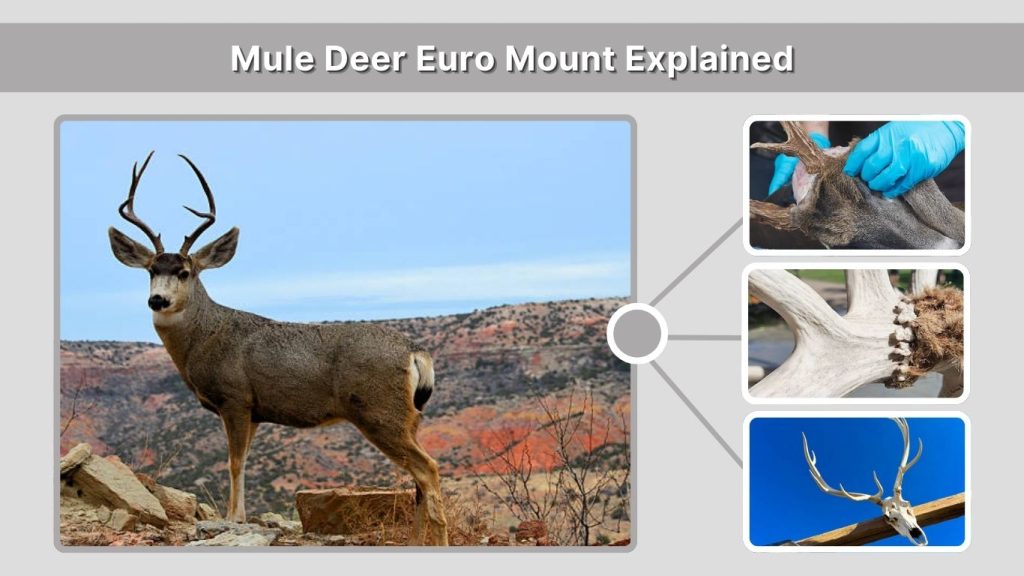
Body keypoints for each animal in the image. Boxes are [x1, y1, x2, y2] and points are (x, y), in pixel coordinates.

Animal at [107, 152, 449, 545]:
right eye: (150, 270)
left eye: (185, 272)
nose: (157, 300)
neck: (206, 337)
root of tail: (415, 352)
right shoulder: (256, 411)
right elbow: (243, 460)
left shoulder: (235, 398)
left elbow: (235, 462)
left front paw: (234, 518)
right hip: (410, 417)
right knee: (420, 477)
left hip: (379, 411)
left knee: (428, 468)